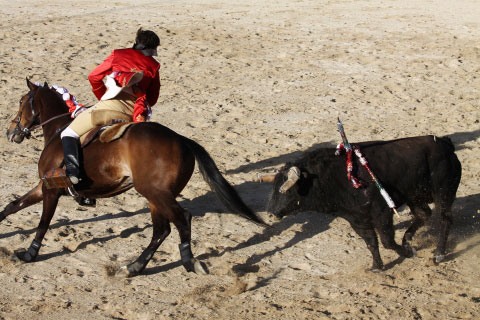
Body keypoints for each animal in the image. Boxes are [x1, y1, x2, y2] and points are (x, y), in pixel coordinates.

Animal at [3, 79, 264, 276]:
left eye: (21, 102)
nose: (10, 132)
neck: (58, 131)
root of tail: (181, 139)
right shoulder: (43, 186)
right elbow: (12, 205)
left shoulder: (51, 190)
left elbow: (43, 223)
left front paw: (29, 254)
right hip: (154, 196)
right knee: (161, 230)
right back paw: (134, 267)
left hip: (155, 193)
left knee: (182, 219)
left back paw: (189, 262)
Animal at [266, 135, 462, 270]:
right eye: (273, 188)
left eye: (287, 190)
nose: (271, 213)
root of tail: (445, 144)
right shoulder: (358, 220)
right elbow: (371, 243)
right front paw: (377, 266)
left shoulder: (382, 213)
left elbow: (386, 241)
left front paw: (406, 253)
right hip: (415, 197)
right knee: (423, 214)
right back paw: (407, 240)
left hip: (444, 193)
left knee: (445, 219)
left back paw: (438, 254)